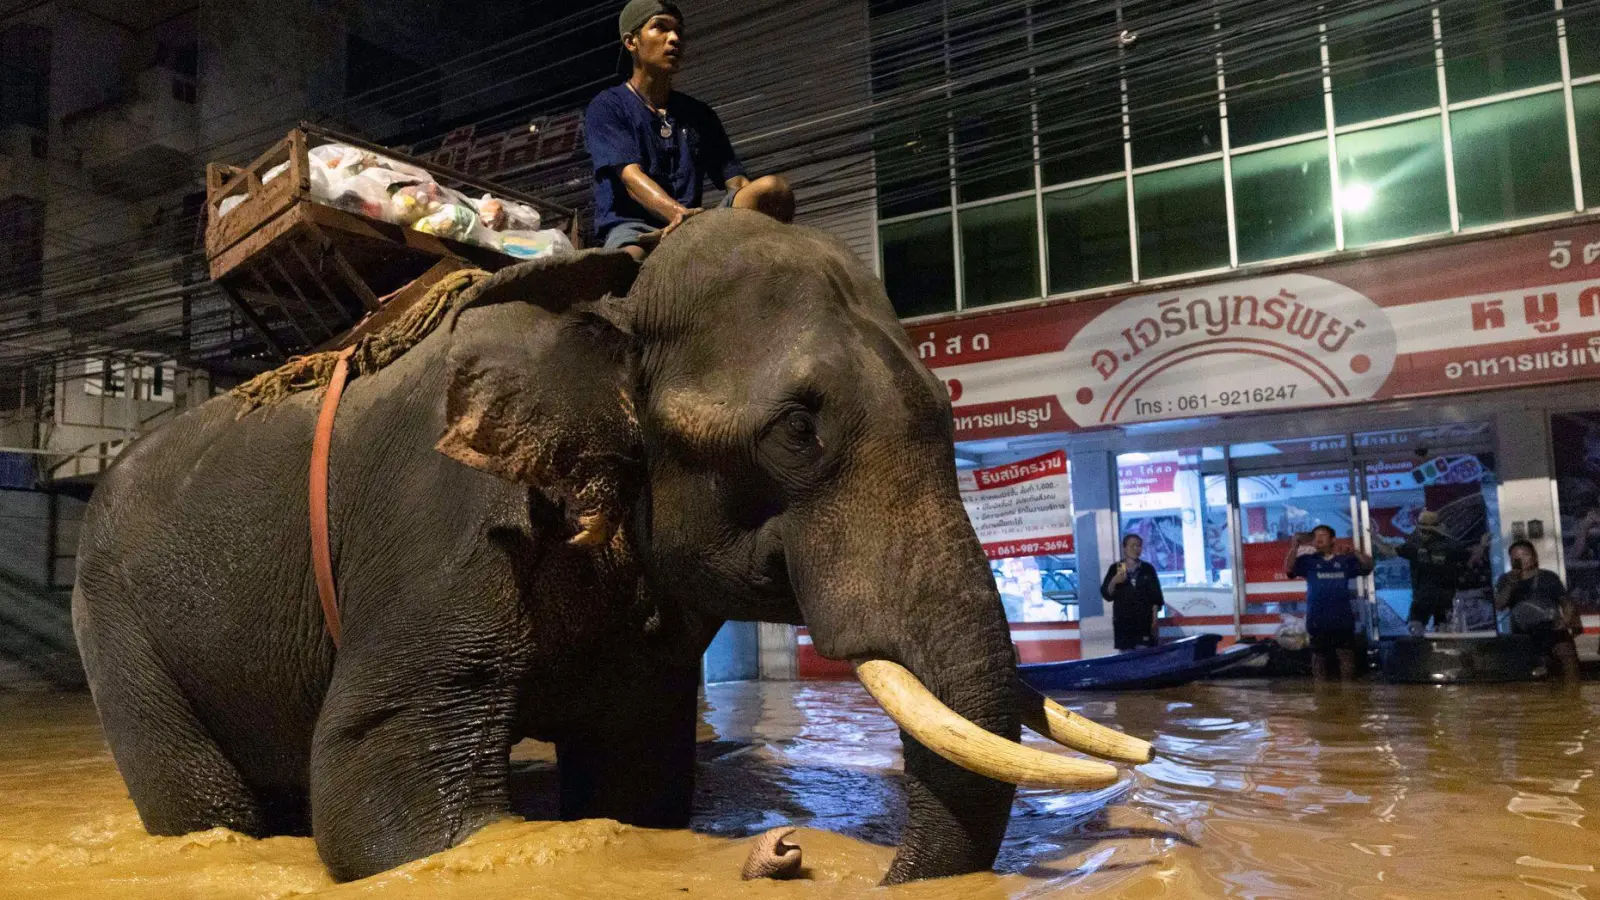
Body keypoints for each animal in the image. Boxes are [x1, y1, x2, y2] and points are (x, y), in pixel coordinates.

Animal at [75, 208, 1152, 883]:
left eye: (947, 410)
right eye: (796, 430)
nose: (805, 857)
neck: (615, 290)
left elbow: (638, 780)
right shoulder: (450, 528)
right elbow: (387, 802)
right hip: (116, 624)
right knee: (202, 802)